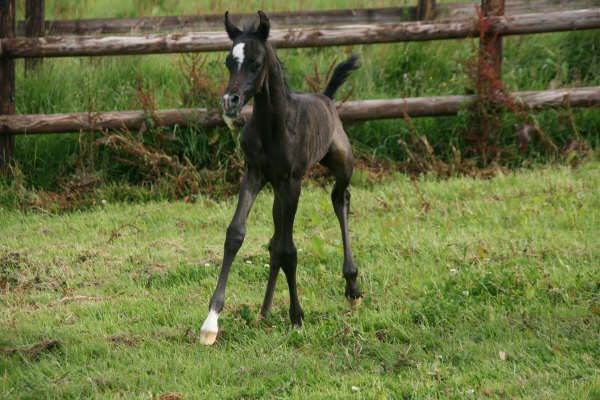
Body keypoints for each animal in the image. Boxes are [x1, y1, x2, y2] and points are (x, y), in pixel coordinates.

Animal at [200, 10, 360, 346]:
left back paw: (352, 287)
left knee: (340, 199)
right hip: (275, 189)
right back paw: (264, 310)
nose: (230, 101)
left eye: (256, 62)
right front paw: (210, 323)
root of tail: (326, 98)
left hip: (341, 164)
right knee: (275, 241)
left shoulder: (291, 181)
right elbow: (237, 234)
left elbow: (289, 249)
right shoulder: (255, 173)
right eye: (229, 60)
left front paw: (297, 316)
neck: (274, 124)